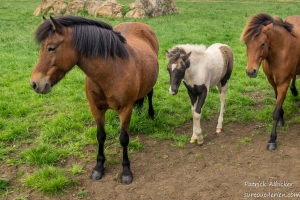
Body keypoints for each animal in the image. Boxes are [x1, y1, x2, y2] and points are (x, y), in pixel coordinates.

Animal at [29, 15, 159, 184]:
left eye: (51, 48)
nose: (34, 83)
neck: (110, 72)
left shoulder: (125, 110)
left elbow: (123, 139)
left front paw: (126, 171)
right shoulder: (96, 109)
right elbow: (101, 136)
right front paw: (99, 167)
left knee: (150, 94)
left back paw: (150, 113)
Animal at [240, 12, 300, 150]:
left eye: (262, 44)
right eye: (246, 43)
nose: (250, 71)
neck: (281, 51)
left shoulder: (283, 83)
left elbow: (276, 112)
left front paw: (272, 139)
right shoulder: (272, 81)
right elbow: (278, 101)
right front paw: (282, 120)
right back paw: (294, 90)